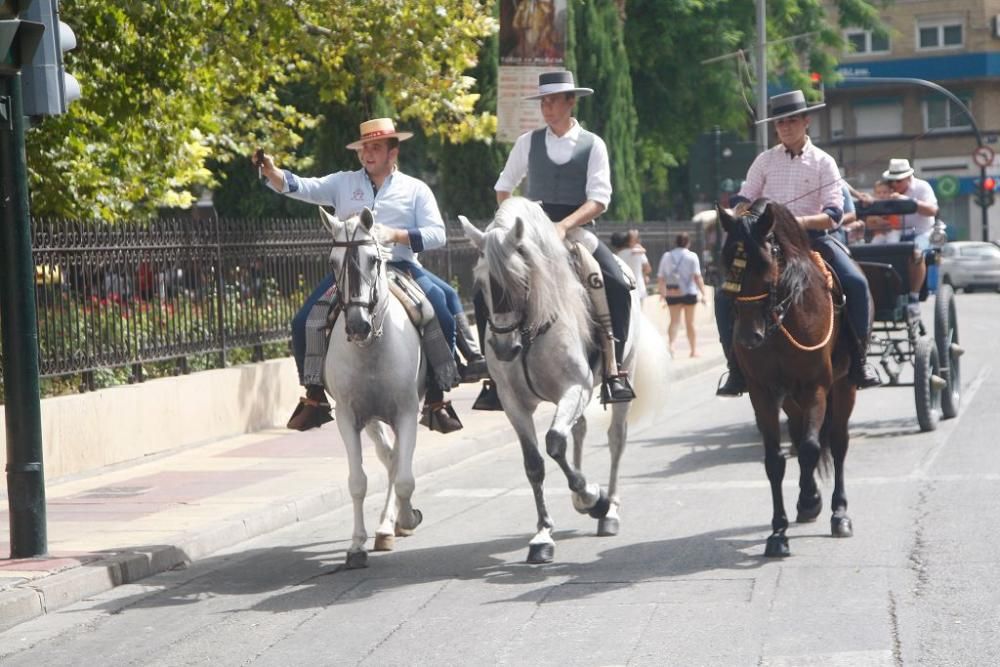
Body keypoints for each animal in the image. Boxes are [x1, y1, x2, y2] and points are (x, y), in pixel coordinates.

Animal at [322, 207, 424, 568]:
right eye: (333, 261)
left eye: (373, 259)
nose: (357, 325)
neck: (371, 350)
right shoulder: (348, 417)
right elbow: (358, 482)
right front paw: (356, 546)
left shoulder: (407, 411)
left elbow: (405, 478)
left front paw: (406, 518)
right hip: (373, 420)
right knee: (389, 456)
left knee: (397, 463)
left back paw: (390, 525)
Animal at [460, 198, 648, 564]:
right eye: (481, 284)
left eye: (521, 279)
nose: (503, 348)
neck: (529, 331)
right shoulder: (513, 403)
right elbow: (535, 463)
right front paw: (543, 534)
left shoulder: (575, 386)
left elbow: (554, 442)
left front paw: (594, 499)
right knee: (580, 429)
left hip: (622, 375)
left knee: (616, 439)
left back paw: (609, 509)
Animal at [724, 200, 856, 560]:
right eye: (725, 267)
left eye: (765, 266)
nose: (747, 337)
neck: (780, 321)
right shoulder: (763, 394)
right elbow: (775, 460)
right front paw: (778, 532)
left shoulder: (817, 387)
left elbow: (812, 448)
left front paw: (815, 504)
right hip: (792, 399)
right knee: (798, 435)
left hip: (843, 387)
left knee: (837, 443)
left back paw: (839, 512)